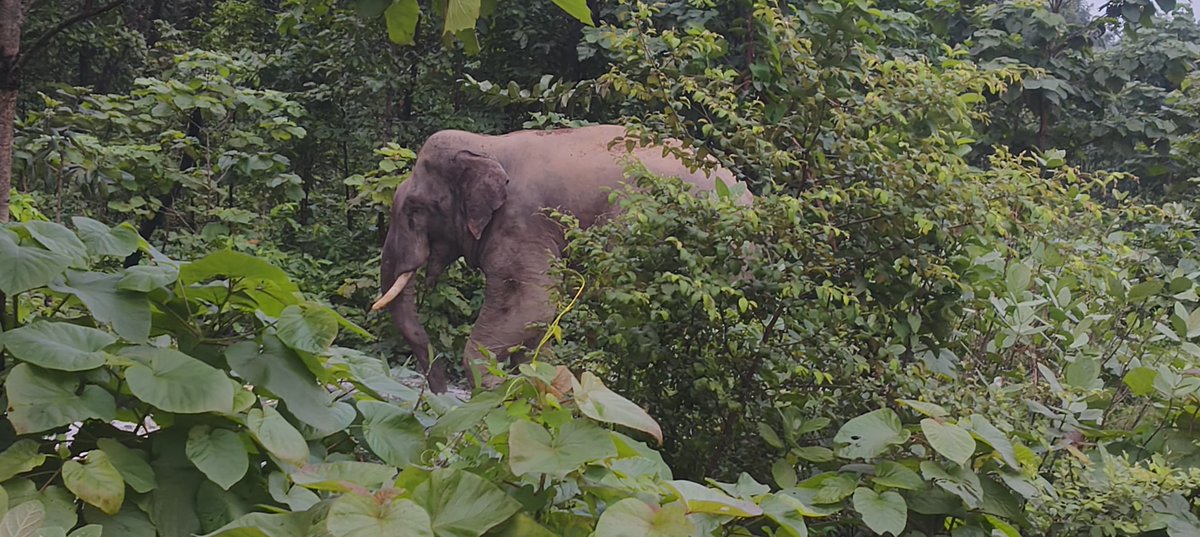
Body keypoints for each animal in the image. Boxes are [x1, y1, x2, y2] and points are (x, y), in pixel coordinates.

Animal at [371, 124, 751, 393]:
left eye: (415, 210)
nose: (437, 388)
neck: (487, 146)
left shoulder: (522, 222)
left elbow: (533, 302)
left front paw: (494, 389)